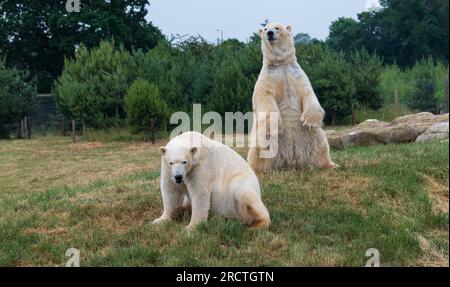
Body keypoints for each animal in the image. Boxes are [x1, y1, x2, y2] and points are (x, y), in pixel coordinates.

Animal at [246, 22, 338, 174]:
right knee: (258, 150)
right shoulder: (267, 78)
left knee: (321, 145)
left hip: (313, 136)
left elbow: (308, 93)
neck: (281, 63)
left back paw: (331, 165)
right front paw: (278, 126)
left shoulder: (297, 75)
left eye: (277, 27)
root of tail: (291, 161)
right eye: (265, 29)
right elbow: (265, 97)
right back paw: (255, 169)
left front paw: (308, 121)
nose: (270, 33)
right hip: (264, 139)